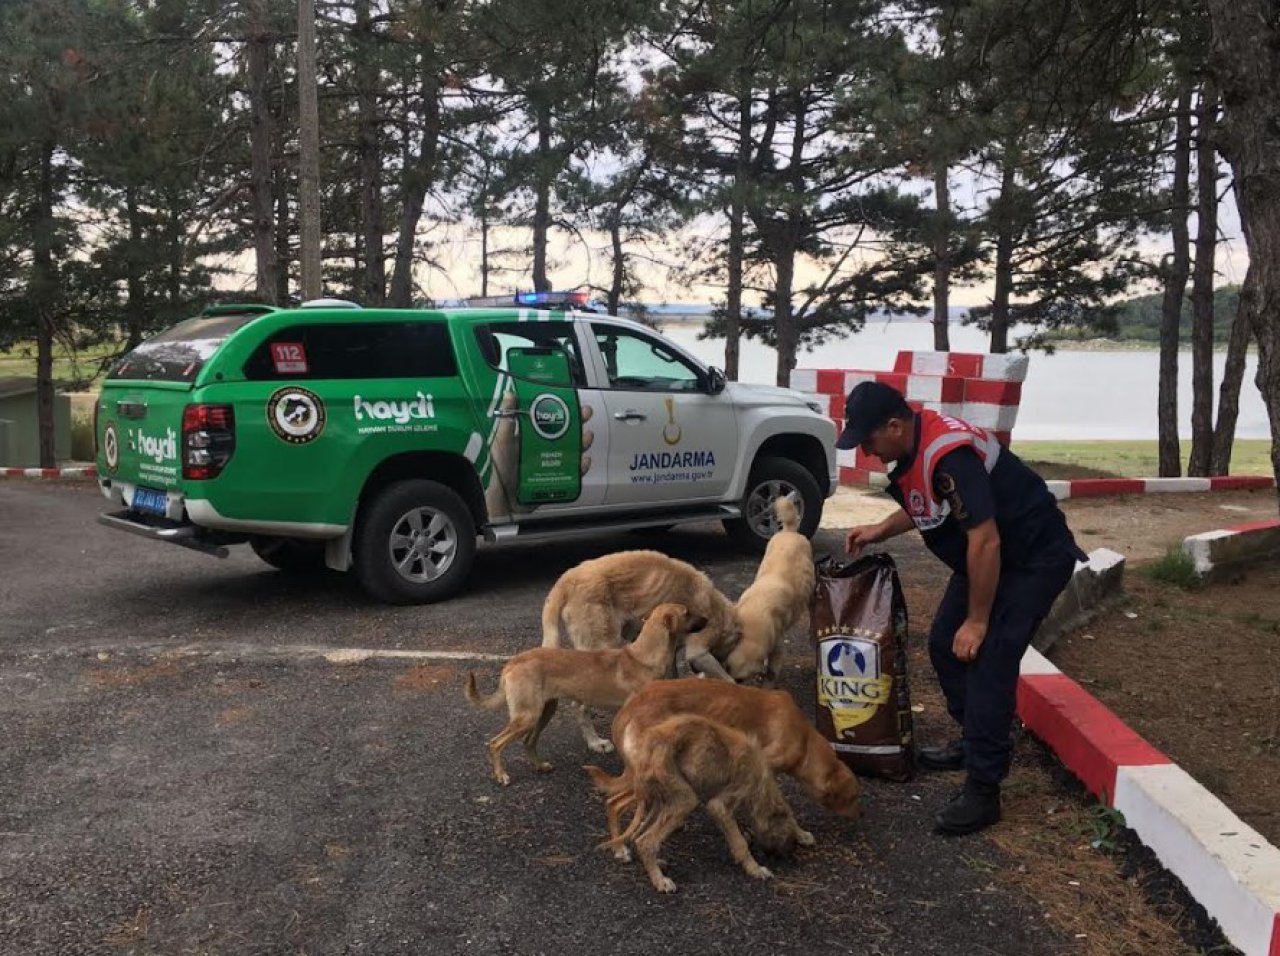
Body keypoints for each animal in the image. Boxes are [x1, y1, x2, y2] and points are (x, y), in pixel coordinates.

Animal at [463, 606, 706, 783]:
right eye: (687, 612)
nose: (707, 618)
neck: (643, 657)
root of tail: (513, 662)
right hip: (528, 716)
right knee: (495, 743)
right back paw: (501, 775)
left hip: (544, 711)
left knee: (528, 741)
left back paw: (540, 766)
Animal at [583, 716, 803, 895]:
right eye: (788, 836)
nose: (788, 856)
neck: (762, 781)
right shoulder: (722, 803)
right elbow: (739, 842)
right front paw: (755, 868)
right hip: (683, 799)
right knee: (645, 840)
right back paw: (659, 880)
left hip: (659, 800)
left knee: (638, 834)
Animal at [609, 675, 860, 819]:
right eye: (852, 798)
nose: (858, 815)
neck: (805, 739)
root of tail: (632, 704)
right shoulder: (764, 763)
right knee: (616, 802)